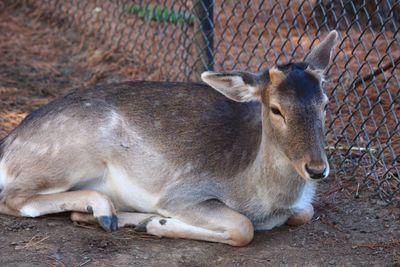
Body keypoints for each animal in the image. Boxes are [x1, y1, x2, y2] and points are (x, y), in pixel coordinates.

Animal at [0, 31, 338, 247]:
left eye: (325, 103)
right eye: (275, 109)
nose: (317, 169)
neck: (266, 201)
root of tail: (8, 144)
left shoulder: (301, 206)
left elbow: (306, 212)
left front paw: (147, 222)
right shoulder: (184, 191)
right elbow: (243, 227)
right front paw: (156, 223)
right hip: (68, 155)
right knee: (12, 198)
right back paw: (105, 210)